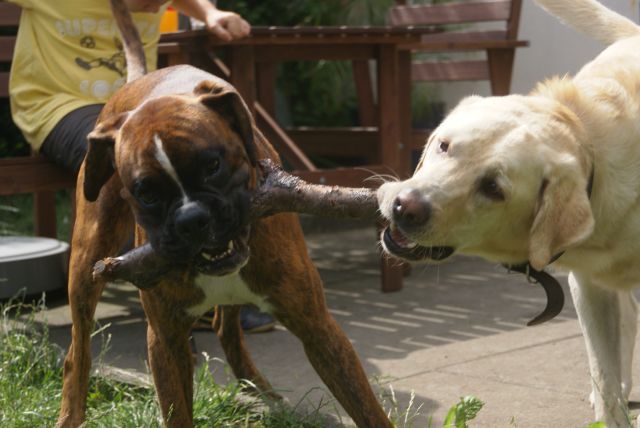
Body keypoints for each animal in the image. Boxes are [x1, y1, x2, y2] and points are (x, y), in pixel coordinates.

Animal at [55, 1, 391, 427]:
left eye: (212, 165)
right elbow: (177, 410)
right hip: (87, 265)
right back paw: (70, 411)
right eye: (146, 193)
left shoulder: (318, 327)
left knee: (226, 327)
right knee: (77, 352)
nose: (191, 219)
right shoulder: (165, 340)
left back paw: (265, 392)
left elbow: (366, 407)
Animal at [377, 0, 640, 426]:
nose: (405, 207)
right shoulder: (588, 287)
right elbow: (603, 376)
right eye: (444, 146)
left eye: (493, 188)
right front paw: (611, 406)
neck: (588, 142)